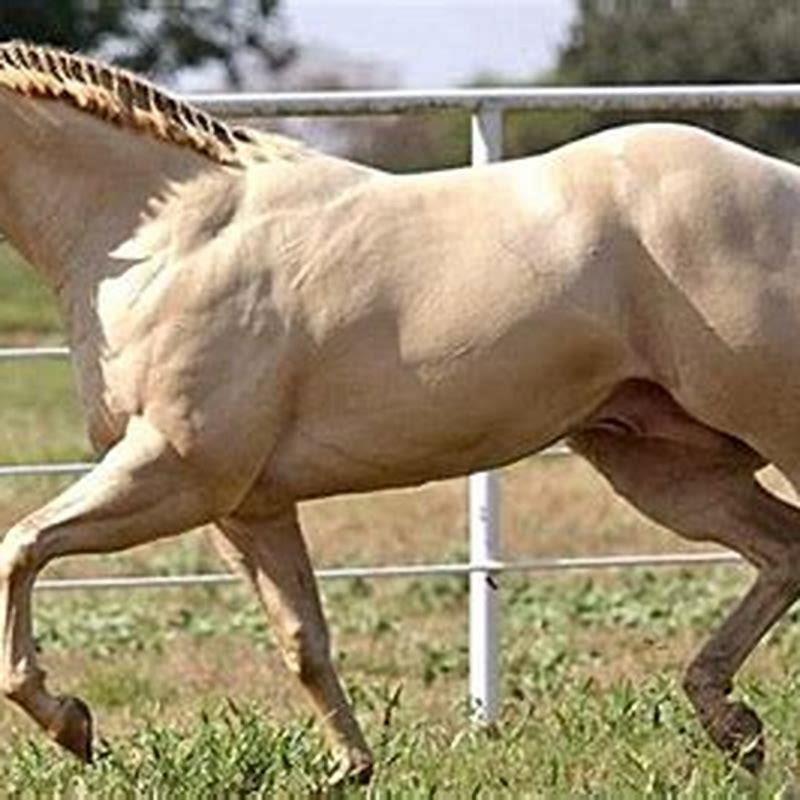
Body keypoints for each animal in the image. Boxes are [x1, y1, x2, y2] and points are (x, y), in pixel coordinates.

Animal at [0, 39, 798, 782]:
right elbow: (302, 640)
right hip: (662, 465)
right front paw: (350, 768)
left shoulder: (176, 472)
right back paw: (732, 724)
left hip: (768, 426)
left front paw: (70, 725)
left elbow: (21, 545)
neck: (165, 239)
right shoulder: (247, 505)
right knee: (783, 549)